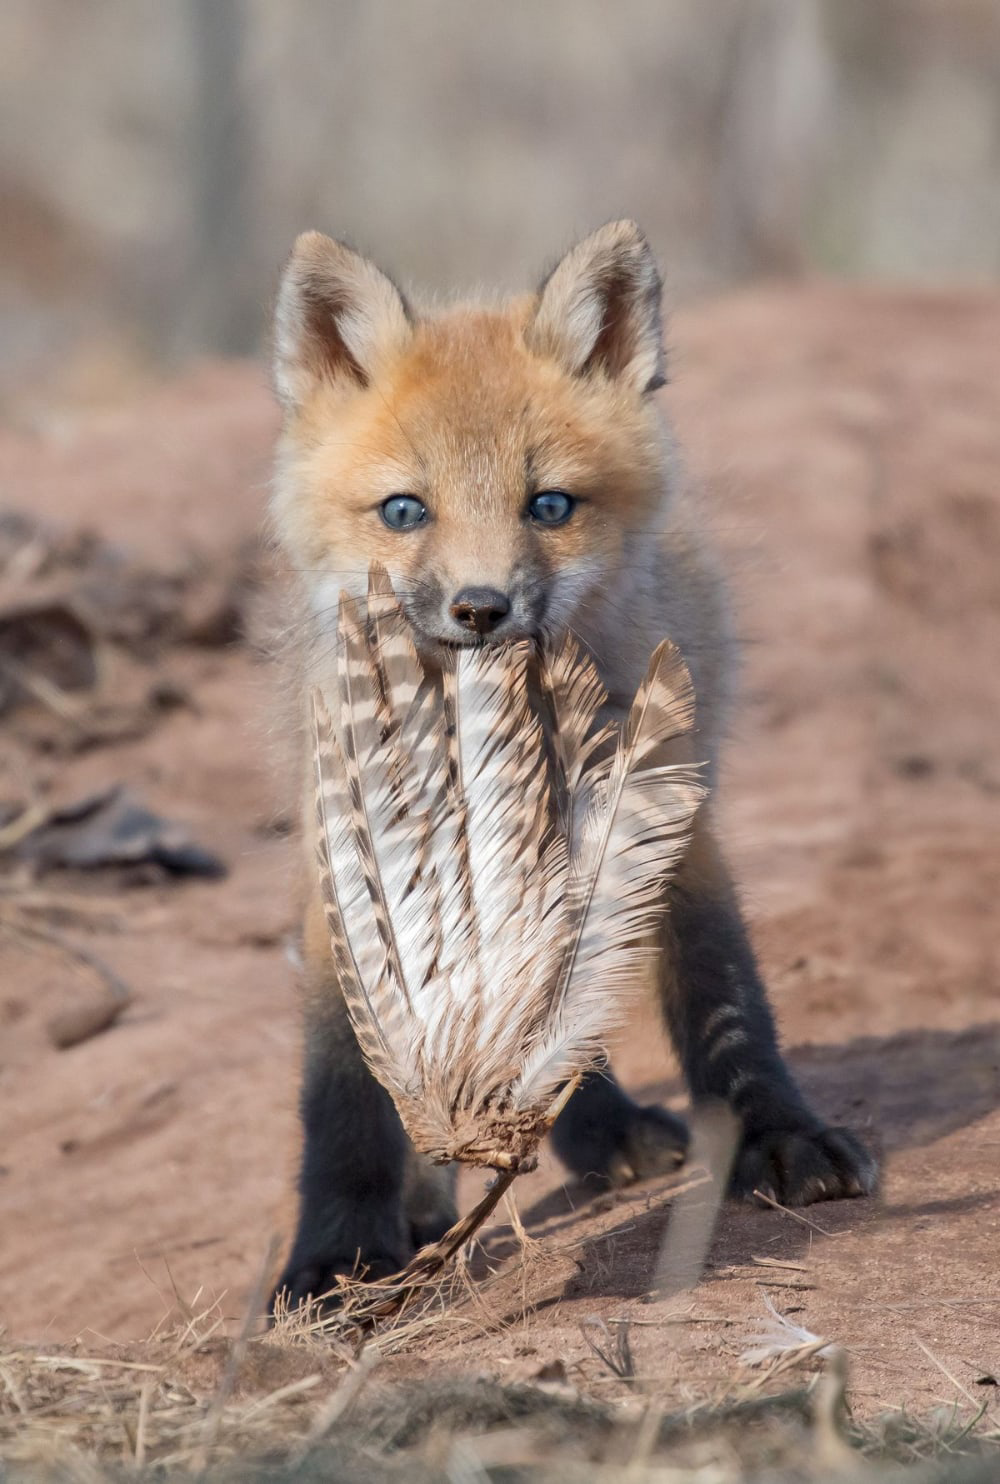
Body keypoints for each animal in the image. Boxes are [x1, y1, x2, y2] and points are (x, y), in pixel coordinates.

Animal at [267, 222, 872, 1311]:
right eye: (404, 511)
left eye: (547, 504)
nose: (480, 607)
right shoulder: (348, 858)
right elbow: (339, 1083)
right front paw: (336, 1251)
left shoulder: (665, 815)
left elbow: (723, 997)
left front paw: (778, 1136)